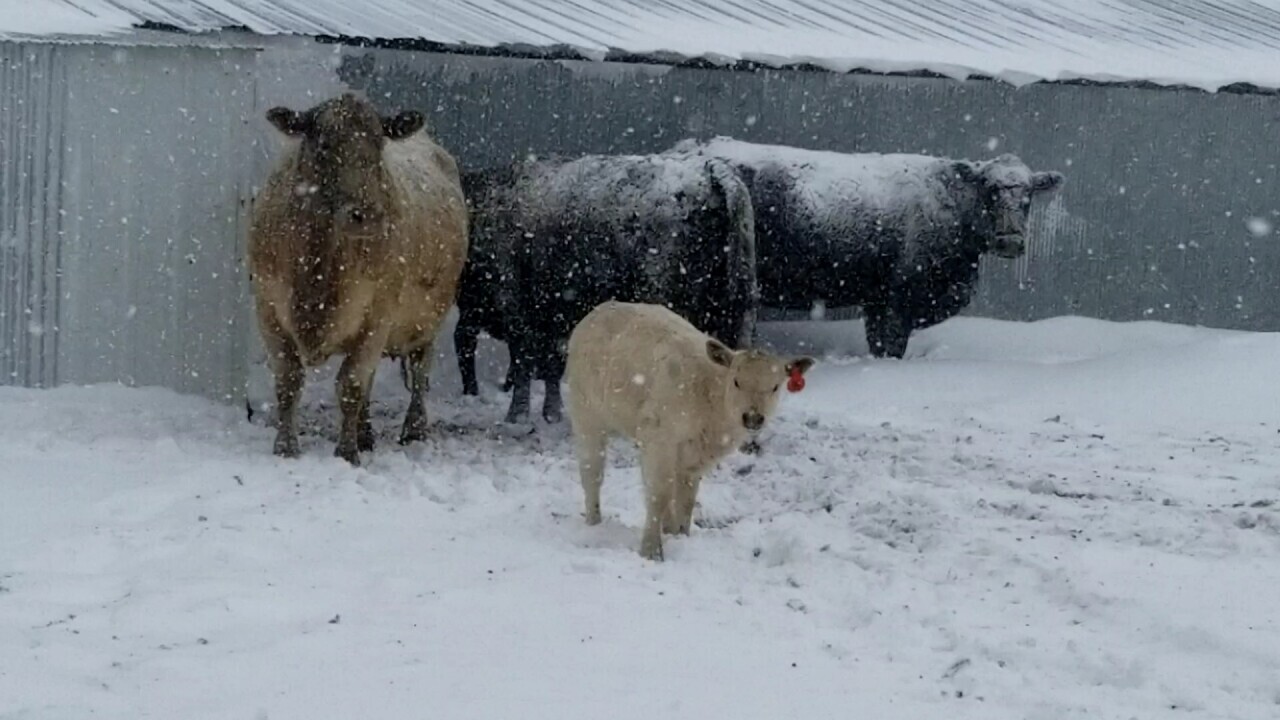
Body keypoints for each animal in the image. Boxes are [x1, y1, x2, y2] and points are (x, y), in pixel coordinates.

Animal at [248, 93, 469, 465]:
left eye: (379, 144)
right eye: (324, 144)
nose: (368, 215)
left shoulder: (378, 315)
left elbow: (350, 384)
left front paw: (346, 452)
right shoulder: (267, 309)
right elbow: (289, 380)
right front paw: (285, 447)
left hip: (428, 319)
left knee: (419, 369)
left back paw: (414, 429)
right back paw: (365, 433)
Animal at [458, 151, 758, 424]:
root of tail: (710, 170)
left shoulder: (516, 302)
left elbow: (524, 358)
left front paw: (517, 415)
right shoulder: (555, 315)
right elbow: (551, 365)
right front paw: (551, 414)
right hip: (738, 306)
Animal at [566, 301, 814, 561]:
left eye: (775, 387)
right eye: (736, 381)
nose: (753, 417)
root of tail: (603, 307)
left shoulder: (693, 454)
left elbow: (686, 498)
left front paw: (681, 536)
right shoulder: (661, 439)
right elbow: (659, 494)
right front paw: (651, 550)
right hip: (586, 415)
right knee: (592, 472)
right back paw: (594, 522)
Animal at [669, 137, 1066, 358]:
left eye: (1029, 196)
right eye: (990, 190)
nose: (1010, 240)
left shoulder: (877, 298)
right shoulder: (902, 295)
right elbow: (891, 347)